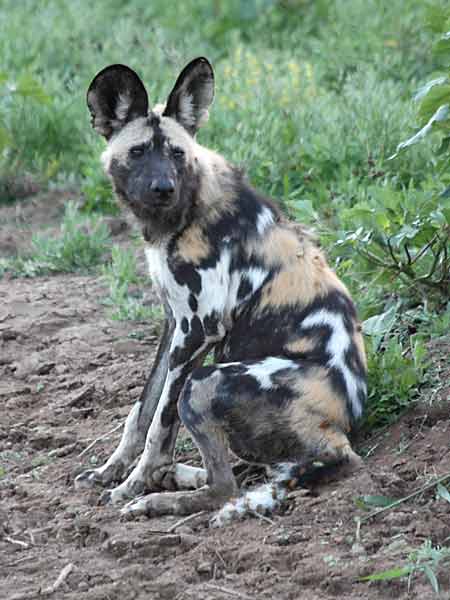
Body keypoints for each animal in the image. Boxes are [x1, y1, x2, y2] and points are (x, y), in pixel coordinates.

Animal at [75, 57, 368, 524]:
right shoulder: (174, 324)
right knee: (245, 470)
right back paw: (178, 476)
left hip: (203, 382)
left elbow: (160, 425)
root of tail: (342, 428)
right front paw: (111, 472)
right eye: (138, 152)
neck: (180, 215)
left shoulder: (197, 331)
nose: (163, 188)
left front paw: (133, 485)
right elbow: (141, 410)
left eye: (177, 154)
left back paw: (159, 497)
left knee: (224, 486)